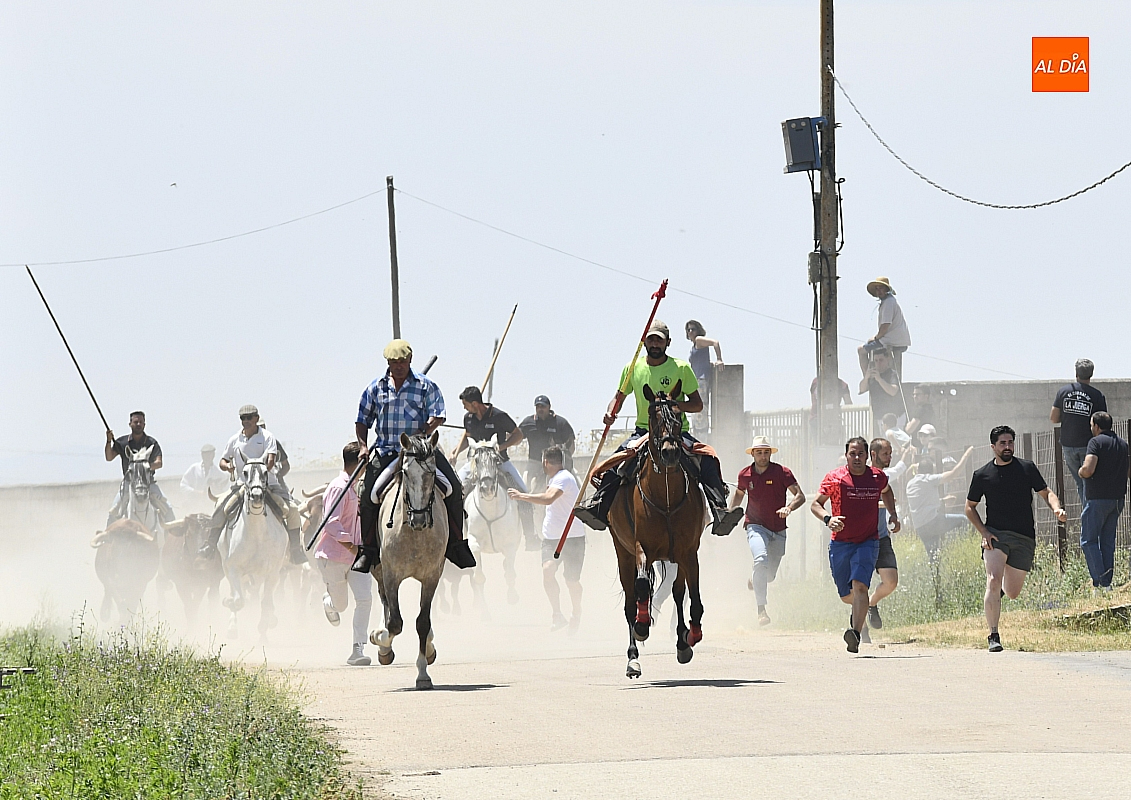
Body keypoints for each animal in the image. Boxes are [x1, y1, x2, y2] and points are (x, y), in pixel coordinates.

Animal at [218, 455, 288, 641]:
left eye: (265, 472)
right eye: (244, 472)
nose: (256, 496)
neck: (256, 534)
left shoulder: (272, 572)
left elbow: (266, 601)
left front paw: (265, 626)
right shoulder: (234, 569)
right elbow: (238, 600)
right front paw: (228, 604)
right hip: (228, 568)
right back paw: (232, 626)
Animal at [369, 433, 447, 690]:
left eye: (432, 473)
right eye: (405, 472)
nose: (419, 518)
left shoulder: (432, 576)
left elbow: (422, 622)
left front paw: (423, 673)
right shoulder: (391, 574)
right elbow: (395, 622)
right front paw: (380, 639)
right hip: (378, 569)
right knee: (384, 601)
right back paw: (383, 646)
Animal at [459, 439, 522, 616]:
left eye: (495, 460)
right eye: (477, 460)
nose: (487, 488)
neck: (490, 509)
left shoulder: (510, 545)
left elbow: (510, 573)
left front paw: (512, 597)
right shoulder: (473, 542)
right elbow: (479, 576)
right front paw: (483, 610)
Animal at [606, 380, 707, 679]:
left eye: (677, 417)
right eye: (653, 417)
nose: (671, 452)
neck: (666, 498)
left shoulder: (688, 551)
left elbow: (692, 596)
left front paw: (691, 635)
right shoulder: (641, 547)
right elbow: (641, 586)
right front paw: (642, 627)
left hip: (674, 557)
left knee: (677, 591)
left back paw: (682, 643)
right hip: (622, 551)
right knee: (631, 597)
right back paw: (633, 657)